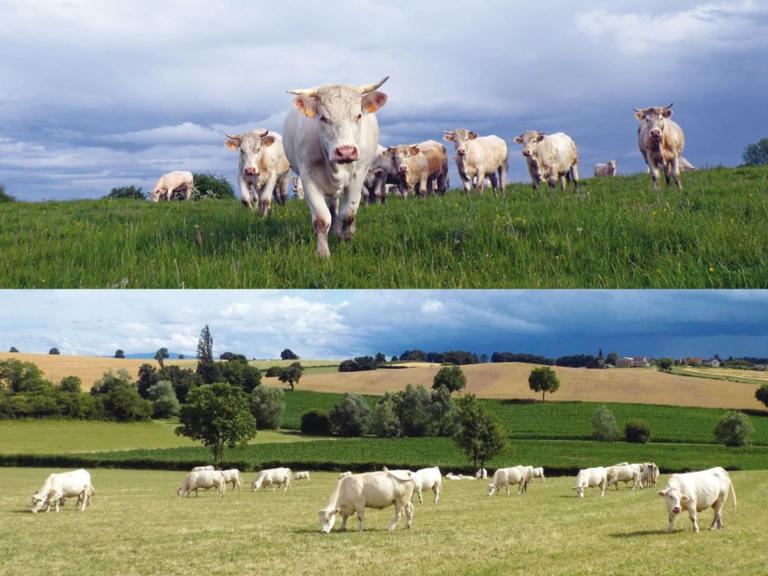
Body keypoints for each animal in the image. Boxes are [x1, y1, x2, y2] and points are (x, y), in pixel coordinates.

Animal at [283, 77, 389, 259]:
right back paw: (335, 229)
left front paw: (345, 239)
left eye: (358, 115)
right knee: (333, 207)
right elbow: (321, 218)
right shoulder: (308, 177)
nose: (345, 151)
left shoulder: (358, 175)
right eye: (323, 118)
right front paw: (322, 253)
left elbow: (349, 212)